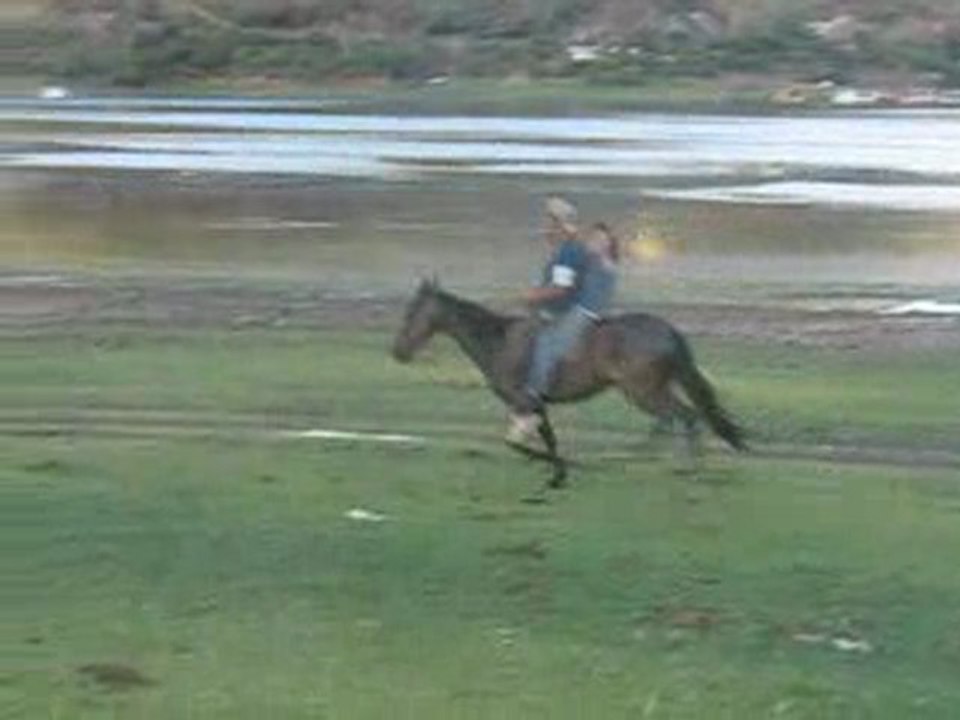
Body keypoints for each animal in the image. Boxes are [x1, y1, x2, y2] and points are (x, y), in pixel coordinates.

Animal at [391, 279, 745, 489]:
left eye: (412, 311)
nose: (398, 351)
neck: (499, 342)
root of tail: (667, 331)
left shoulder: (524, 402)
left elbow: (522, 444)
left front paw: (560, 470)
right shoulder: (535, 405)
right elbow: (548, 441)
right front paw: (559, 472)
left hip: (642, 390)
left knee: (682, 417)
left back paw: (684, 466)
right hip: (651, 389)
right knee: (677, 419)